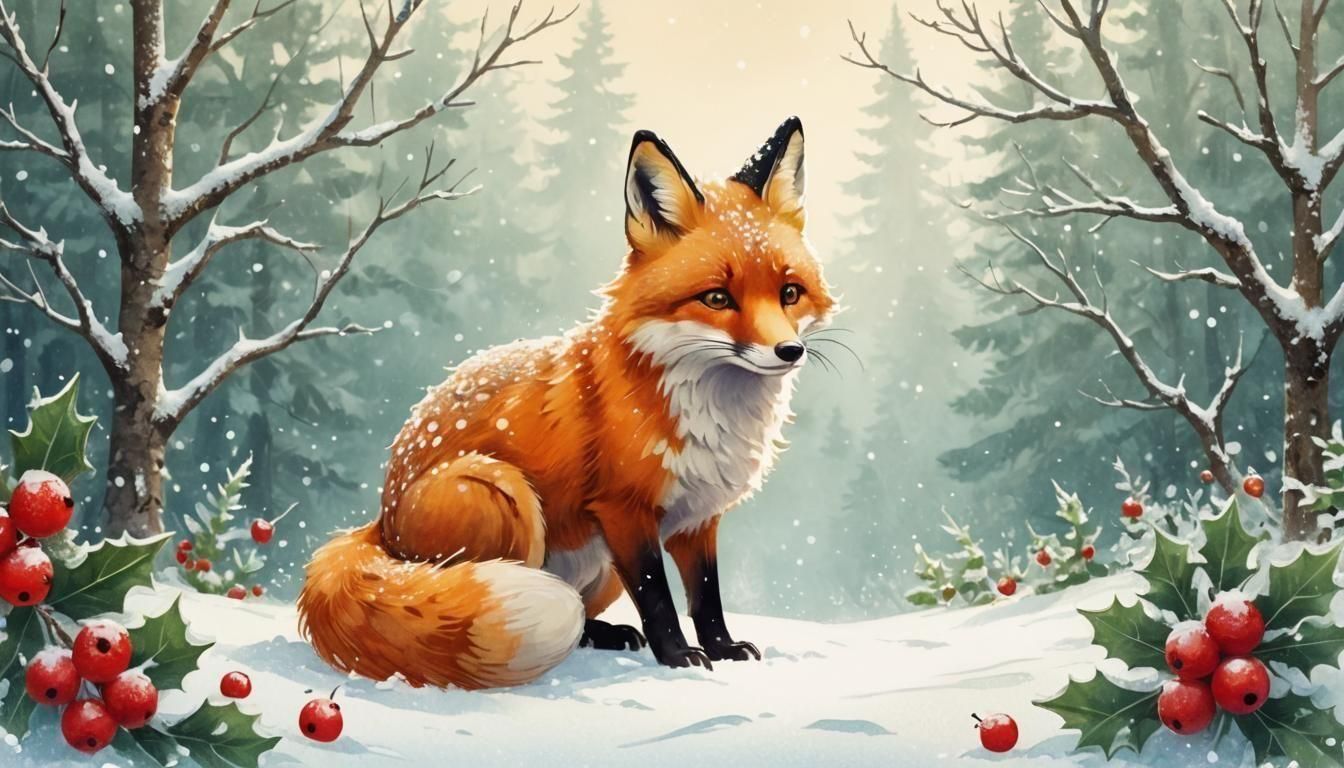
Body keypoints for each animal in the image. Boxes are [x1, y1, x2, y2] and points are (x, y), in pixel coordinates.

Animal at [297, 116, 835, 689]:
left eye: (789, 293)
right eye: (717, 298)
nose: (789, 351)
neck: (708, 412)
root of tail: (381, 521)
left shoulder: (697, 518)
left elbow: (706, 596)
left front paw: (723, 649)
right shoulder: (623, 510)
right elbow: (659, 597)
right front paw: (677, 656)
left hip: (599, 567)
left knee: (578, 614)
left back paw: (604, 634)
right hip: (505, 496)